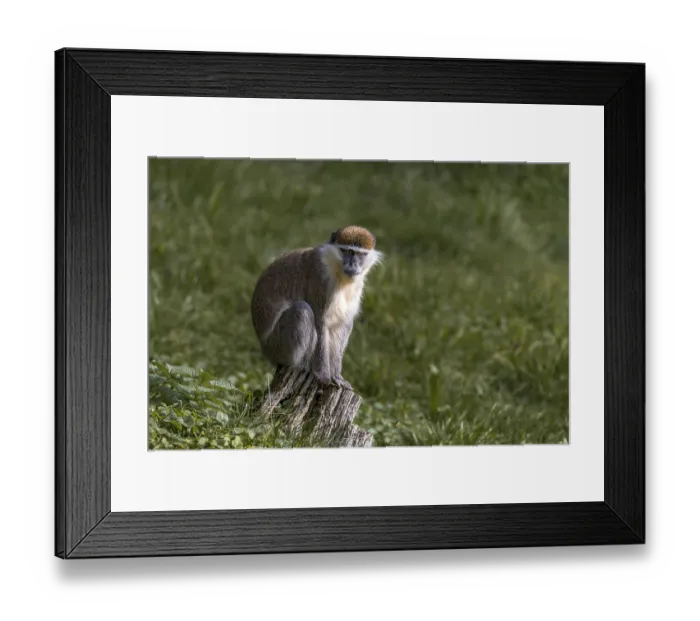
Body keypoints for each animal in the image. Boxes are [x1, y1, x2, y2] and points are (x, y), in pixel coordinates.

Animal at [251, 225, 382, 391]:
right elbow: (320, 322)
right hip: (276, 346)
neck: (338, 271)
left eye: (360, 254)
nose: (353, 265)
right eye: (346, 251)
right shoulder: (320, 278)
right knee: (302, 310)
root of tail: (264, 348)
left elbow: (342, 325)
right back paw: (302, 365)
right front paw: (323, 376)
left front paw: (337, 375)